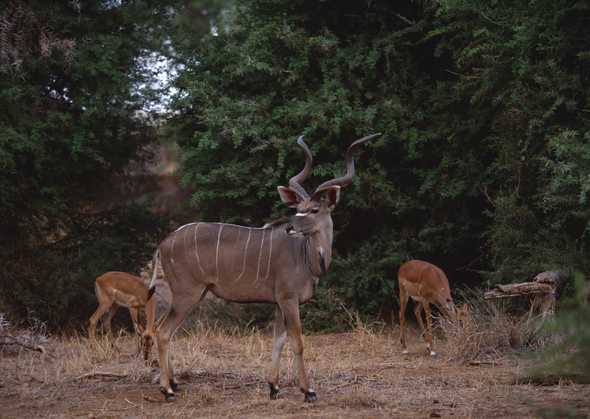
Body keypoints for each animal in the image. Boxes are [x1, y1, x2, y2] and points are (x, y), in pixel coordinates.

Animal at [147, 133, 380, 402]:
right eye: (297, 209)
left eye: (313, 209)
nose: (290, 227)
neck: (306, 257)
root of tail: (164, 243)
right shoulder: (288, 299)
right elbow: (297, 341)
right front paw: (308, 391)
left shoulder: (279, 302)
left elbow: (278, 340)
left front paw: (274, 387)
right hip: (188, 293)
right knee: (163, 331)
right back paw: (167, 390)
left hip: (194, 293)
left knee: (162, 328)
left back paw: (174, 383)